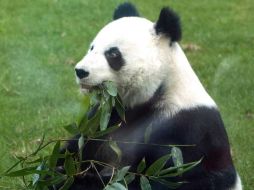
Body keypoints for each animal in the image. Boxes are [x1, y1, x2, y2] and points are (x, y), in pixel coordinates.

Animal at [61, 2, 242, 190]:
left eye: (113, 54)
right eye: (92, 47)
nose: (81, 71)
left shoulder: (184, 130)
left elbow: (157, 177)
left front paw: (79, 179)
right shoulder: (105, 116)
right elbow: (77, 146)